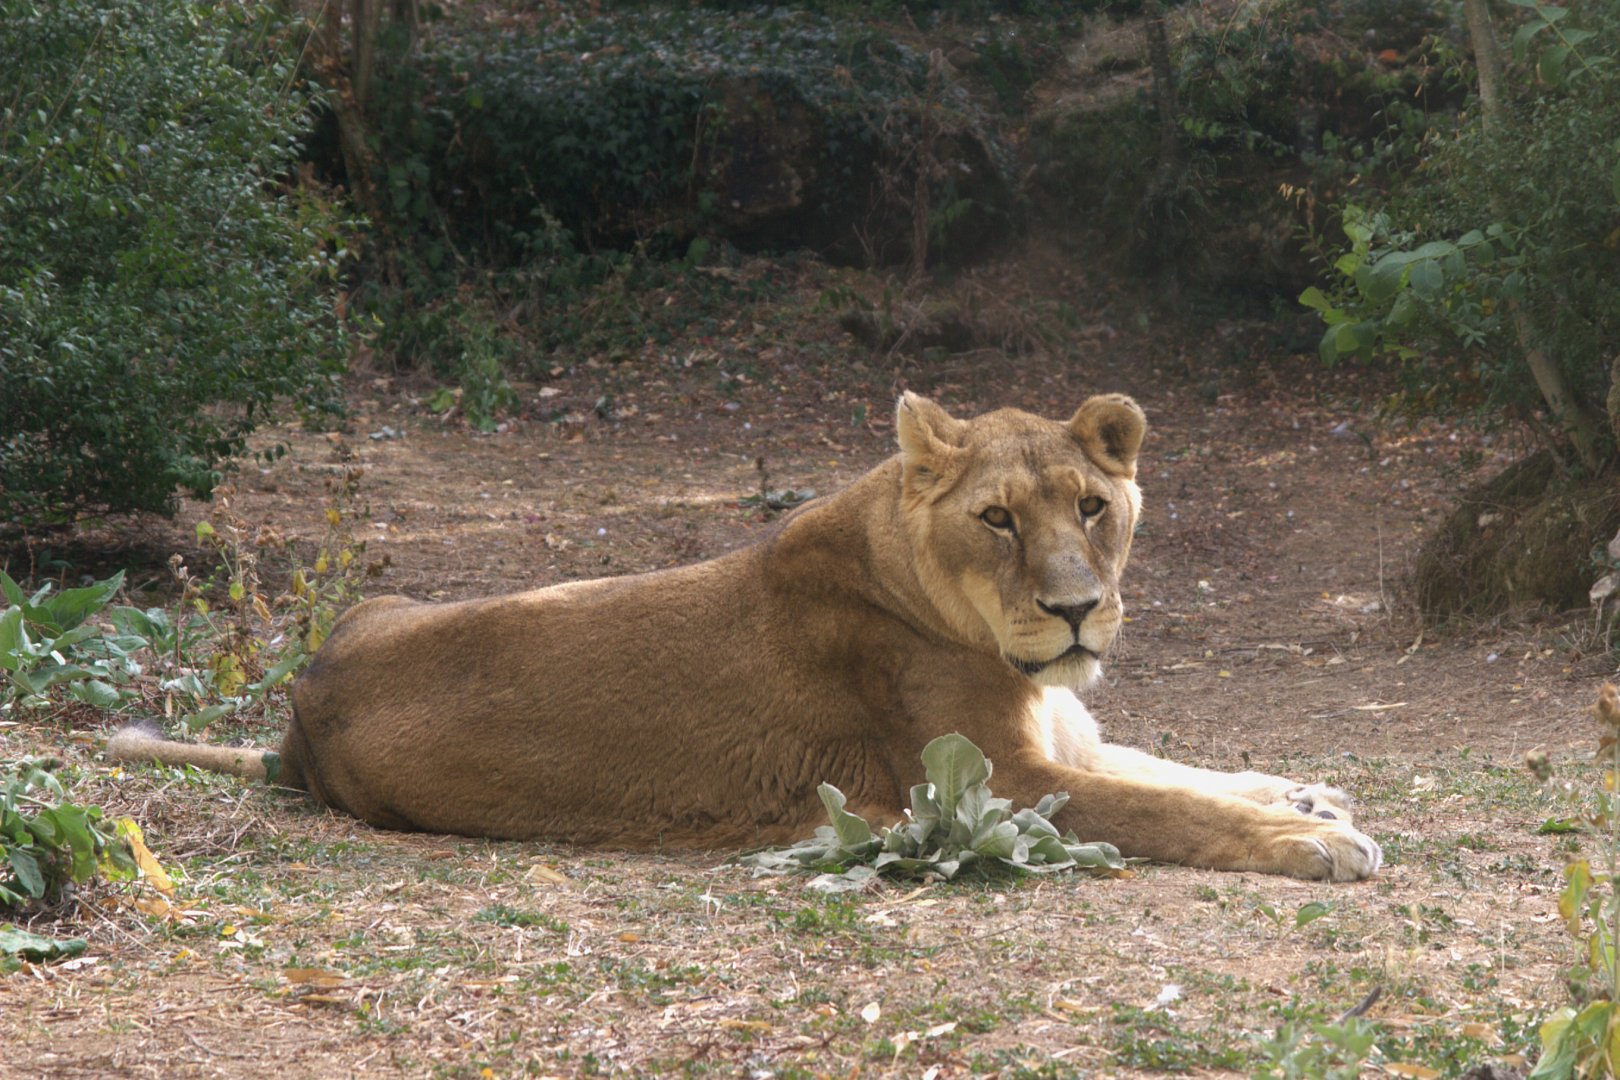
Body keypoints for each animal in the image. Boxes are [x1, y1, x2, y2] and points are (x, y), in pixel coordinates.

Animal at [110, 392, 1381, 881]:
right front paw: (1311, 842)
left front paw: (1305, 795)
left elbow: (1181, 769)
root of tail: (299, 717)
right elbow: (1165, 808)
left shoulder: (1068, 741)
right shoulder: (993, 786)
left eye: (1094, 507)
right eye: (998, 519)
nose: (1074, 608)